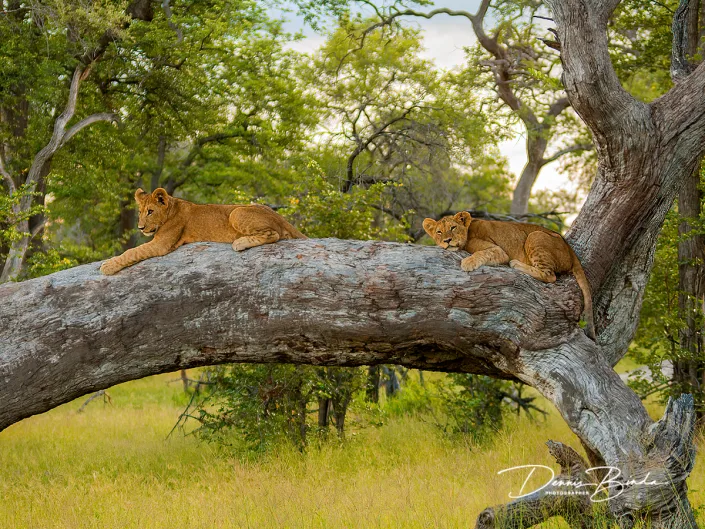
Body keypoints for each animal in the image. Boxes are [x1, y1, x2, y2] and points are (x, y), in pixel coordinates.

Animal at [100, 188, 306, 275]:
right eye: (141, 213)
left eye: (150, 211)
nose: (141, 228)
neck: (171, 209)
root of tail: (279, 216)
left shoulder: (162, 244)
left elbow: (132, 252)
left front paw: (107, 266)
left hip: (236, 212)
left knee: (274, 234)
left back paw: (240, 243)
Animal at [423, 211, 595, 340]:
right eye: (439, 232)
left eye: (453, 227)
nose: (447, 240)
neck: (468, 232)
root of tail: (570, 250)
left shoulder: (499, 251)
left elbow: (481, 253)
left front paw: (468, 262)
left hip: (535, 235)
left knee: (550, 276)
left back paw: (516, 264)